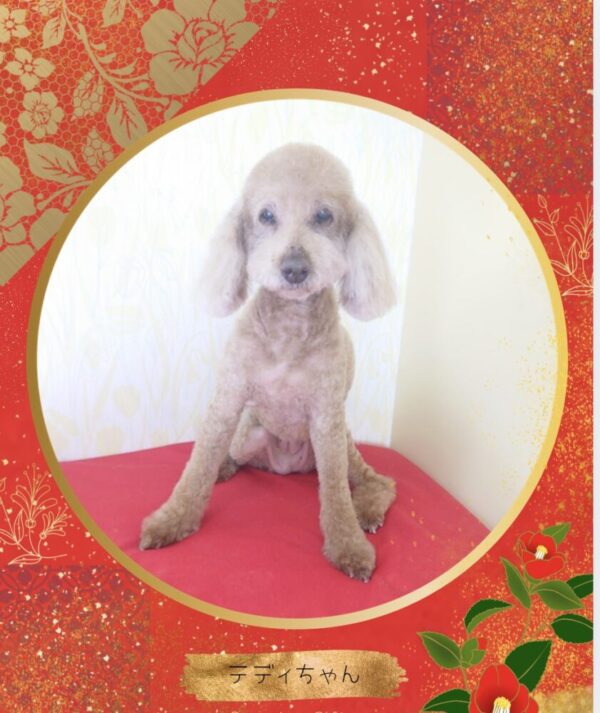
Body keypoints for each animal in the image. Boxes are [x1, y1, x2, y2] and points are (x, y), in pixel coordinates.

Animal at [139, 143, 397, 581]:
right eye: (266, 216)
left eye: (324, 215)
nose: (294, 268)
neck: (289, 329)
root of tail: (286, 467)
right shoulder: (228, 398)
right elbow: (198, 464)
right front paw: (171, 521)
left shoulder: (326, 417)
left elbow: (336, 497)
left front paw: (349, 546)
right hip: (252, 434)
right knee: (232, 456)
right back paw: (225, 468)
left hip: (341, 446)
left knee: (375, 483)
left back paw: (367, 512)